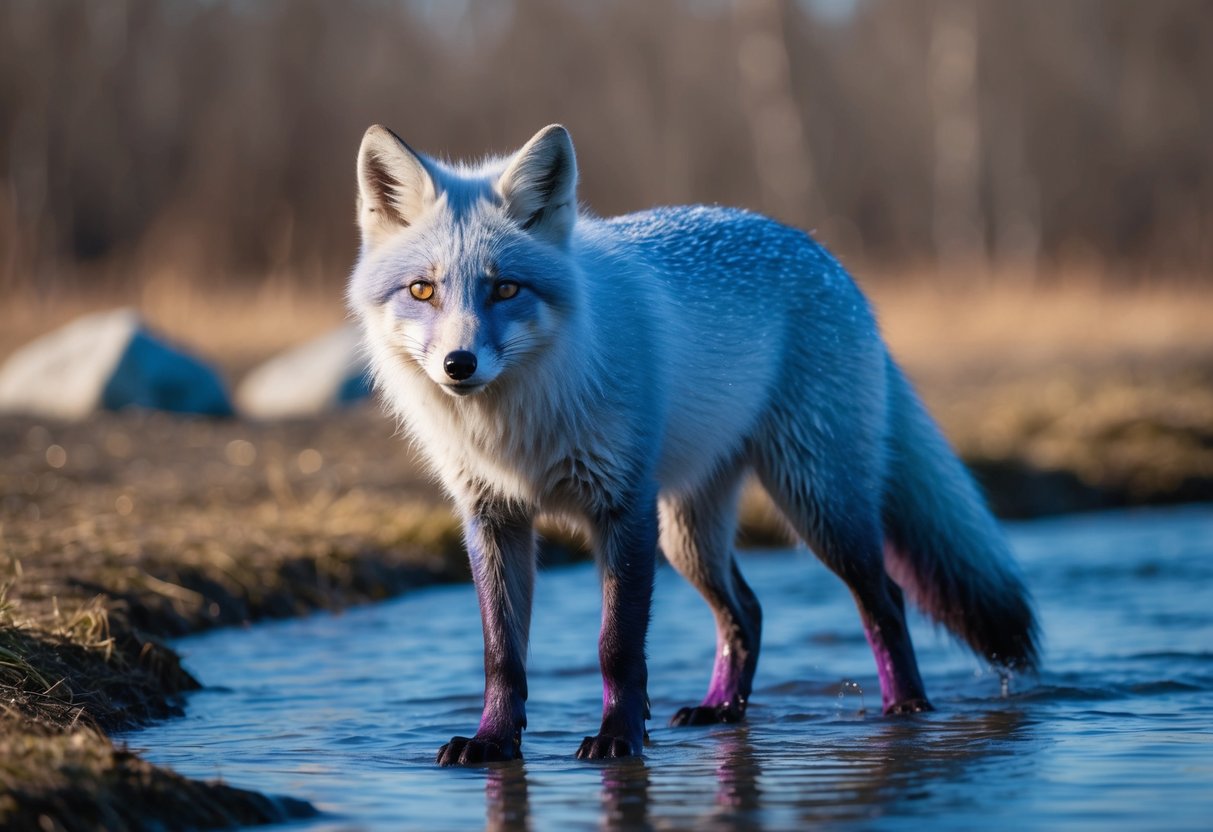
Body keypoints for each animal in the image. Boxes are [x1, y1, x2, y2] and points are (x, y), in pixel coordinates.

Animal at [347, 123, 1039, 766]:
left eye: (506, 289)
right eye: (423, 290)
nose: (458, 365)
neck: (517, 427)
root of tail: (822, 253)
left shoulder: (623, 507)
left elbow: (618, 646)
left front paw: (618, 738)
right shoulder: (494, 515)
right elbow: (502, 654)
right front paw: (493, 741)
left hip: (818, 503)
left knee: (884, 599)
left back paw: (907, 708)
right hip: (690, 534)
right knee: (747, 612)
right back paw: (722, 709)